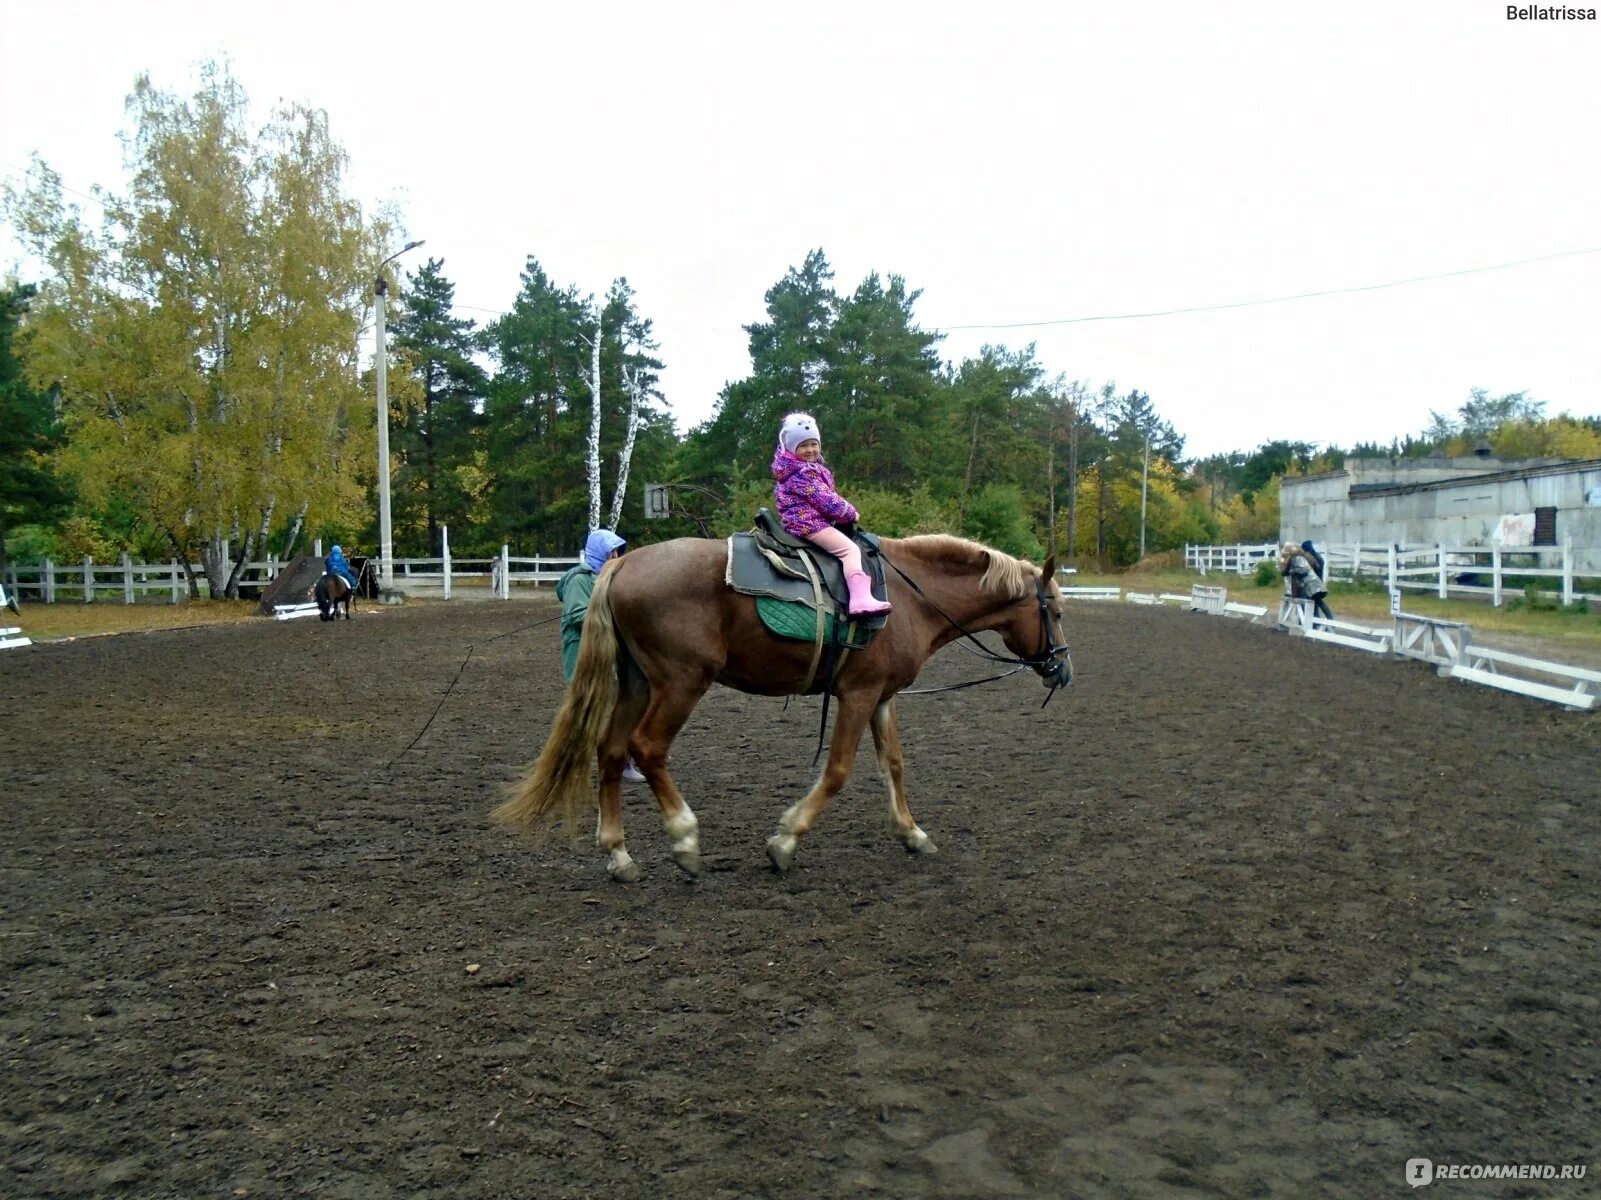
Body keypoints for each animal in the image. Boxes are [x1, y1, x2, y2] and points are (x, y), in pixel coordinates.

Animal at [493, 534, 1069, 883]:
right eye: (1058, 612)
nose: (1063, 671)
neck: (910, 599)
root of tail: (625, 563)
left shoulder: (882, 696)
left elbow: (894, 766)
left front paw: (912, 834)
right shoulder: (858, 695)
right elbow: (837, 772)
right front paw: (786, 840)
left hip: (636, 682)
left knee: (611, 751)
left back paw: (618, 854)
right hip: (680, 683)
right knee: (647, 748)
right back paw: (684, 839)